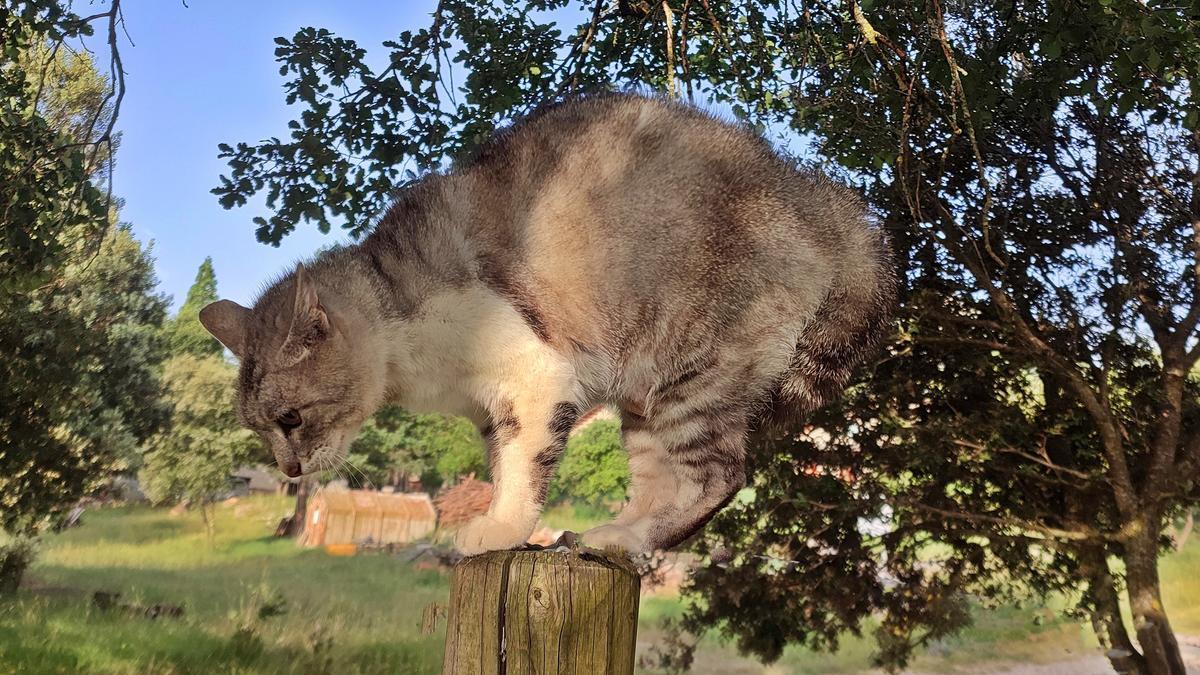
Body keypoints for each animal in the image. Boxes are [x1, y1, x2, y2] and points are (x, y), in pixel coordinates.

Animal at [199, 91, 892, 554]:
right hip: (644, 401)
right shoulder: (492, 408)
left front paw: (499, 531)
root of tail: (824, 203)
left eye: (291, 419)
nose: (289, 471)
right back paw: (617, 533)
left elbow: (523, 469)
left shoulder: (537, 378)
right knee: (660, 481)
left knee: (719, 476)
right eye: (259, 429)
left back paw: (626, 540)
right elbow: (504, 464)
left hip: (696, 375)